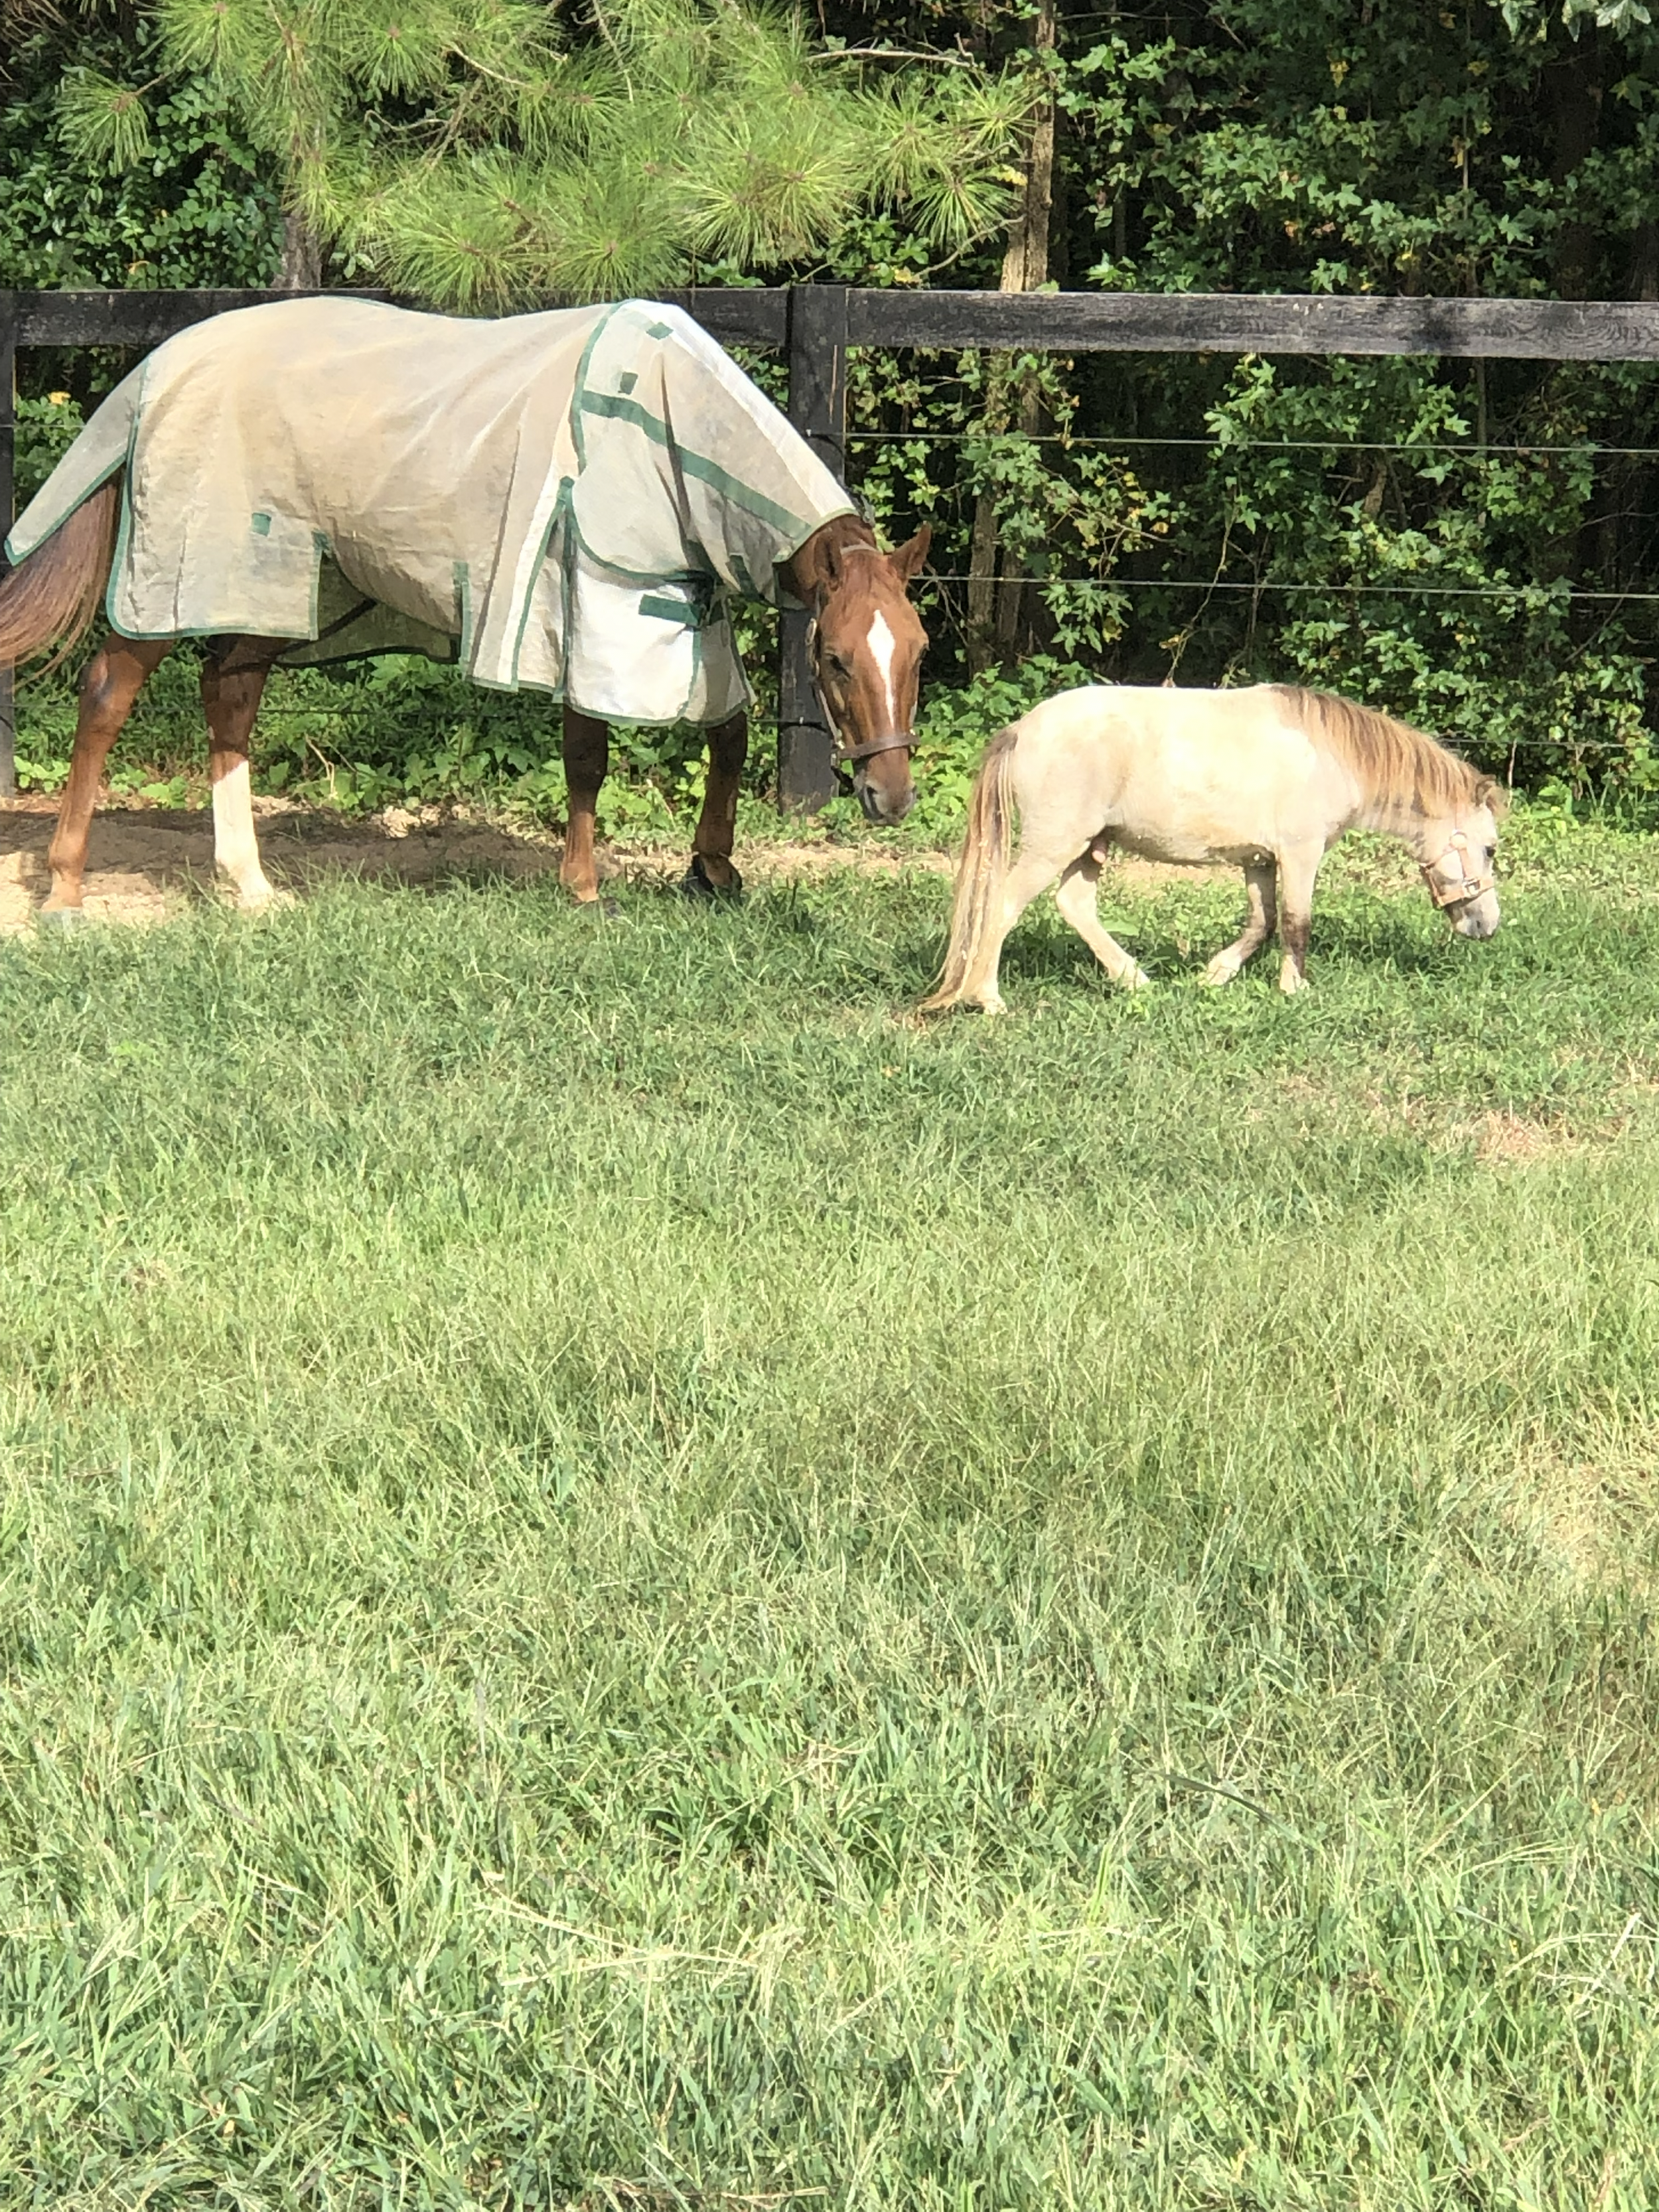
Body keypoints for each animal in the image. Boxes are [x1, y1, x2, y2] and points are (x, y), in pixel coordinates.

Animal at [0, 297, 930, 921]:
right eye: (836, 658)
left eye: (917, 652)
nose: (890, 797)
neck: (673, 431)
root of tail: (155, 369)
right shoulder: (584, 605)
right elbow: (588, 756)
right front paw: (583, 887)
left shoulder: (687, 616)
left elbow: (730, 736)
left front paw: (714, 870)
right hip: (180, 580)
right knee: (107, 695)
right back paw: (66, 891)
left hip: (270, 588)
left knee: (229, 701)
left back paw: (254, 887)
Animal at [922, 682, 1503, 1011]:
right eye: (1492, 848)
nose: (1487, 925)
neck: (1330, 754)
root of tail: (1021, 729)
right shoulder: (1300, 854)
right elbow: (1296, 923)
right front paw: (1294, 989)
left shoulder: (1259, 860)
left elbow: (1262, 923)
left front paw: (1215, 973)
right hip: (1055, 844)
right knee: (1003, 907)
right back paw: (988, 998)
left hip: (1090, 847)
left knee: (1075, 906)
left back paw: (1135, 979)